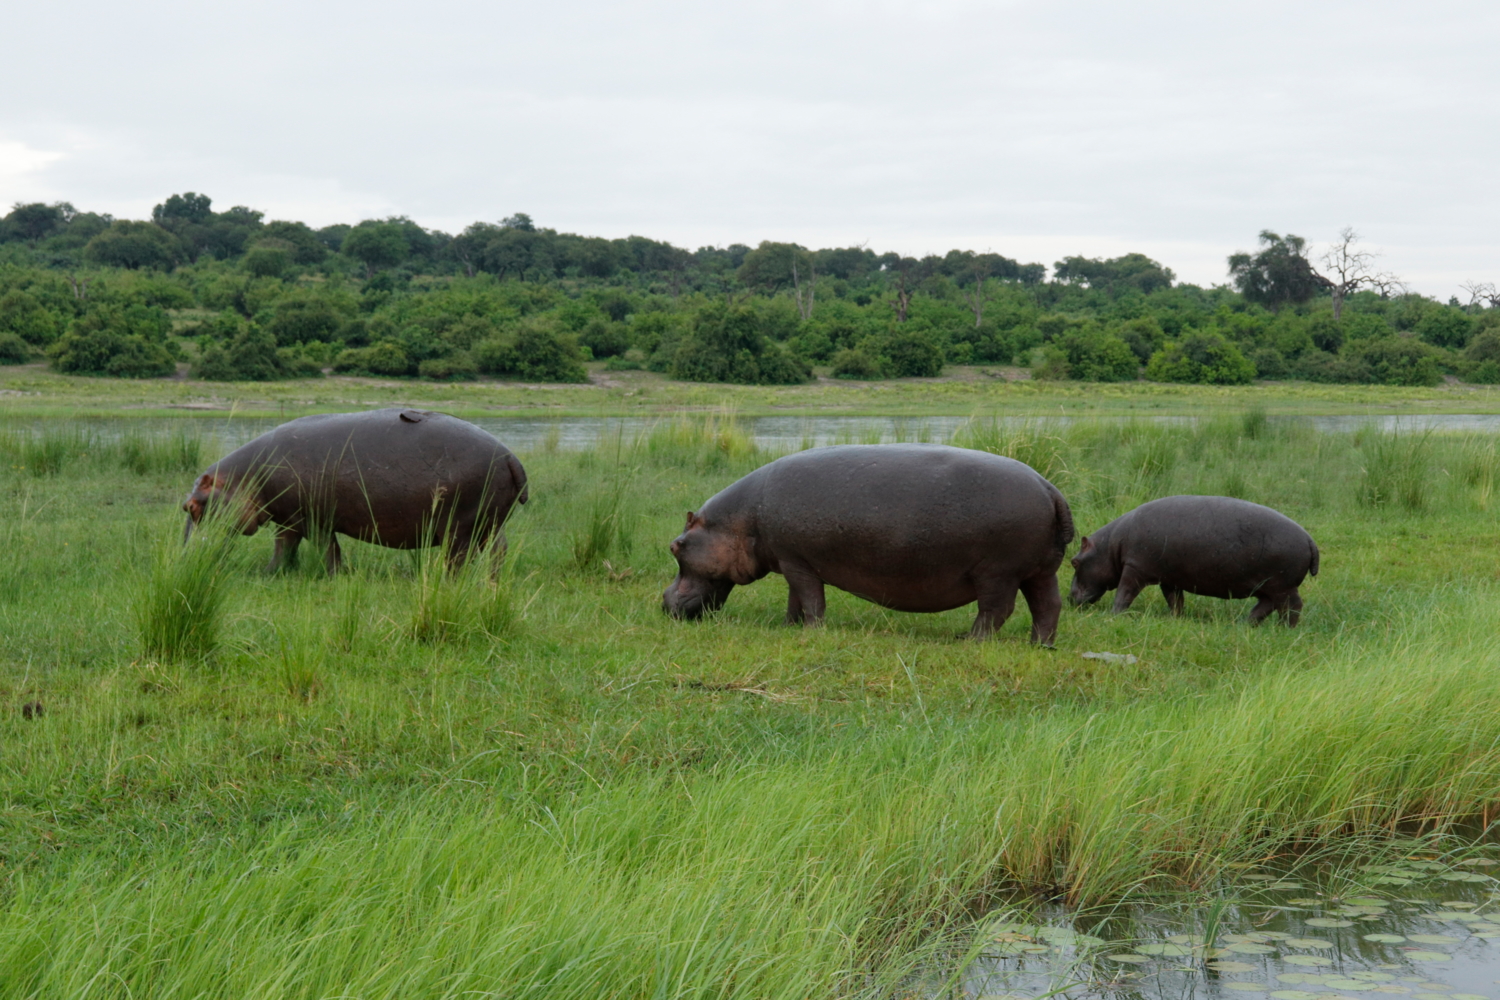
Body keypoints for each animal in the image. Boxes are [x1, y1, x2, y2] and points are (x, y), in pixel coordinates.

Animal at [182, 407, 528, 575]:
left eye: (191, 507)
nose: (184, 556)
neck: (243, 478)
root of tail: (510, 456)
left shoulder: (314, 520)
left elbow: (326, 549)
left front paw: (335, 576)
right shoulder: (289, 519)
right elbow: (284, 548)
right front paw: (271, 573)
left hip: (461, 527)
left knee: (459, 559)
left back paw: (447, 580)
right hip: (489, 522)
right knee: (498, 550)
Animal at [663, 443, 1074, 641]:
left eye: (676, 546)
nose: (664, 600)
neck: (739, 521)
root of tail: (1050, 489)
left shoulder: (797, 562)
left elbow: (811, 600)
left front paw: (810, 632)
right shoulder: (793, 562)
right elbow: (796, 600)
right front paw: (788, 626)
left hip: (998, 573)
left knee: (996, 611)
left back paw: (969, 640)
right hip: (1039, 571)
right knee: (1047, 607)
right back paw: (1041, 644)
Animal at [1068, 497, 1326, 629]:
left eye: (1074, 562)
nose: (1070, 598)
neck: (1110, 546)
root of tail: (1310, 539)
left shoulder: (1134, 569)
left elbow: (1124, 593)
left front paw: (1114, 615)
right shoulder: (1169, 578)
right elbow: (1175, 600)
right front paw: (1176, 619)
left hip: (1282, 586)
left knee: (1292, 606)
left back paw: (1284, 629)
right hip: (1268, 587)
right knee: (1265, 606)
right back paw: (1244, 625)